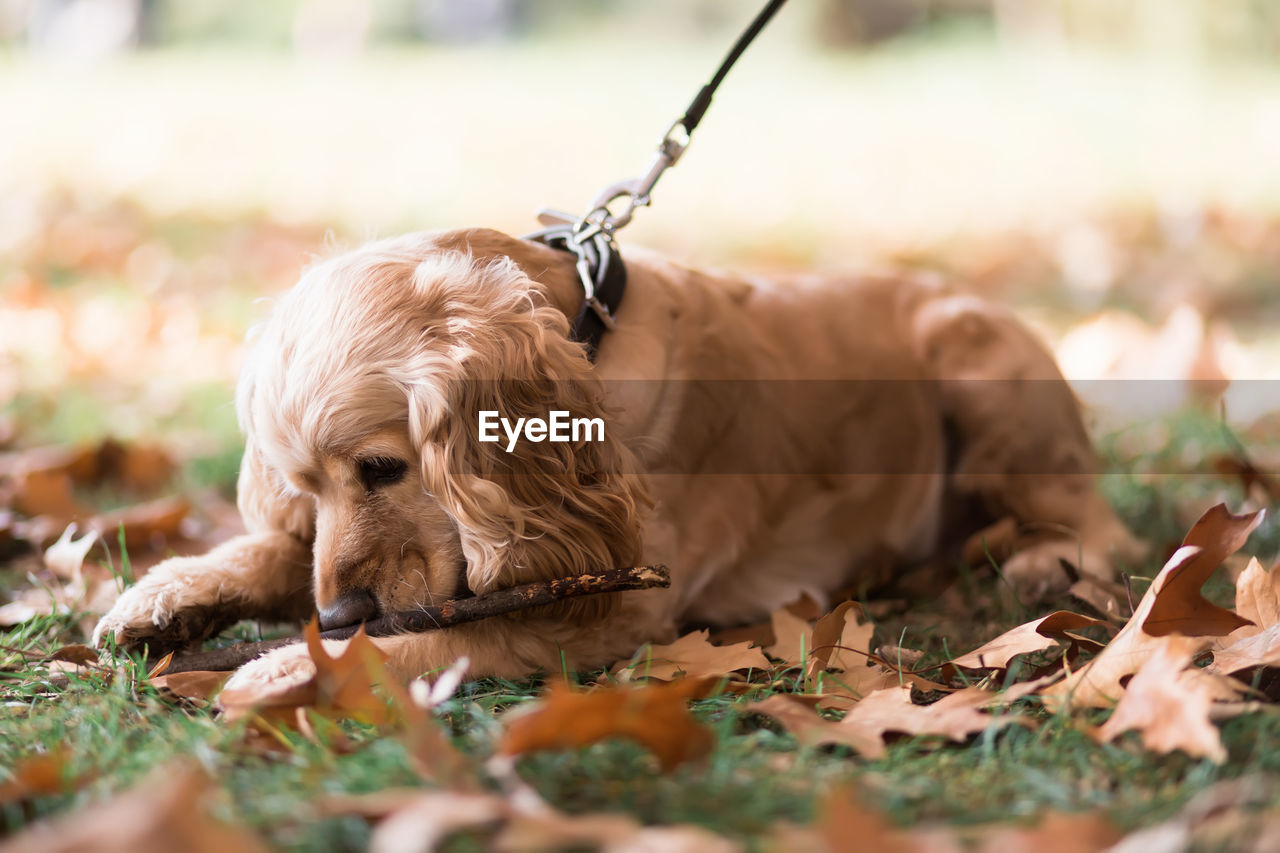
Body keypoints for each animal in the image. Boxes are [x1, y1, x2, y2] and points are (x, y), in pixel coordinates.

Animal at [94, 227, 1146, 691]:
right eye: (304, 486)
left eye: (384, 469)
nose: (342, 612)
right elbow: (276, 556)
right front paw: (167, 595)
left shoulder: (607, 605)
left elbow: (439, 634)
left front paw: (288, 667)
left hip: (980, 363)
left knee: (1095, 512)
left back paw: (1050, 556)